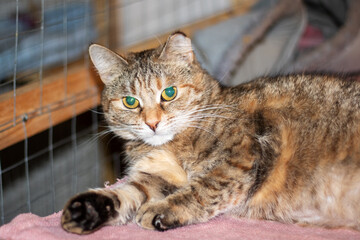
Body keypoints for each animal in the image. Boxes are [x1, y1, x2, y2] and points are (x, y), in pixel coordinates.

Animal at [61, 31, 360, 234]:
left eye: (169, 93)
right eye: (130, 101)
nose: (152, 123)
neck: (170, 145)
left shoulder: (240, 156)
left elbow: (201, 189)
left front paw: (162, 210)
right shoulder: (155, 177)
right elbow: (128, 192)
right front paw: (87, 209)